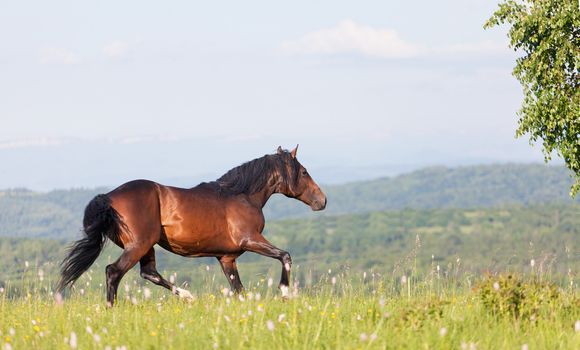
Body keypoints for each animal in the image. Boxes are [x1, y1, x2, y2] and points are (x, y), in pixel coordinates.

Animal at [57, 146, 326, 304]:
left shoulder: (227, 258)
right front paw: (284, 291)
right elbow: (285, 256)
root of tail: (109, 197)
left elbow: (239, 289)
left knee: (149, 273)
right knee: (113, 272)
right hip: (139, 245)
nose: (322, 201)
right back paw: (111, 309)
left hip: (147, 246)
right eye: (303, 172)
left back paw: (187, 295)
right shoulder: (250, 239)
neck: (242, 196)